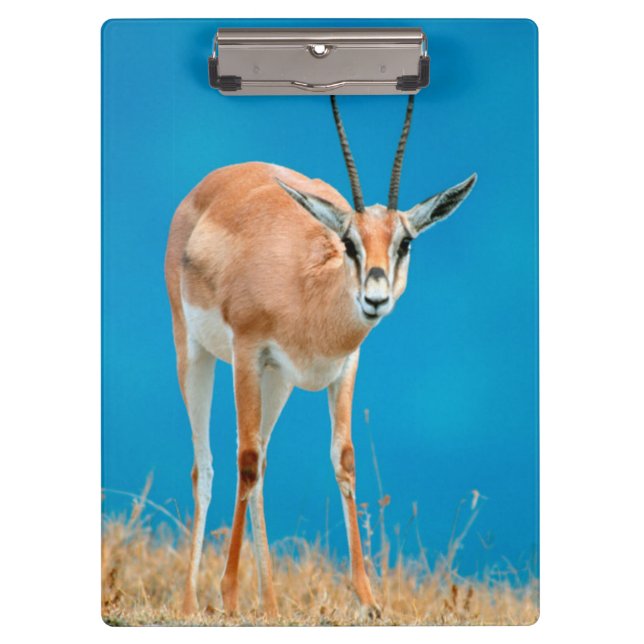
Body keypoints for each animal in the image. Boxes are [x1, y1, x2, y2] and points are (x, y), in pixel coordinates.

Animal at [164, 95, 476, 619]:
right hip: (195, 354)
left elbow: (342, 458)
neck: (307, 291)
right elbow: (243, 460)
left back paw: (268, 603)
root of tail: (214, 181)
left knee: (262, 461)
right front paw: (229, 595)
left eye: (405, 242)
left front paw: (368, 600)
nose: (375, 298)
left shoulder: (343, 367)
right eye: (349, 241)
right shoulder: (248, 353)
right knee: (206, 465)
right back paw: (193, 603)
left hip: (279, 383)